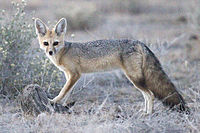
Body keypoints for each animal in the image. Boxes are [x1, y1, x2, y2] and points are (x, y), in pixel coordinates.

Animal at [34, 17, 189, 114]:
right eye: (46, 43)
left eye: (56, 43)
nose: (50, 52)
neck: (64, 52)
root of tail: (139, 42)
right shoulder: (69, 76)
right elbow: (67, 92)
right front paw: (63, 105)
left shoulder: (75, 75)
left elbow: (62, 91)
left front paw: (53, 101)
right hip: (136, 79)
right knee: (146, 95)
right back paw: (144, 111)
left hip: (134, 78)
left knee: (150, 94)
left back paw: (148, 114)